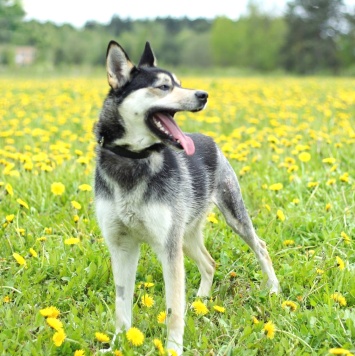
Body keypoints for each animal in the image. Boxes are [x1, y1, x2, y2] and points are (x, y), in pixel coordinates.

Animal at [94, 41, 280, 354]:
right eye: (164, 86)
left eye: (180, 83)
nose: (203, 94)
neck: (133, 160)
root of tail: (209, 139)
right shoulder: (121, 245)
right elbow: (121, 305)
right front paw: (120, 342)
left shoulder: (168, 249)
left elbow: (172, 310)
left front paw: (172, 348)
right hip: (185, 234)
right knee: (209, 263)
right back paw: (201, 302)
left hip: (231, 217)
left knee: (261, 247)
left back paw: (275, 289)